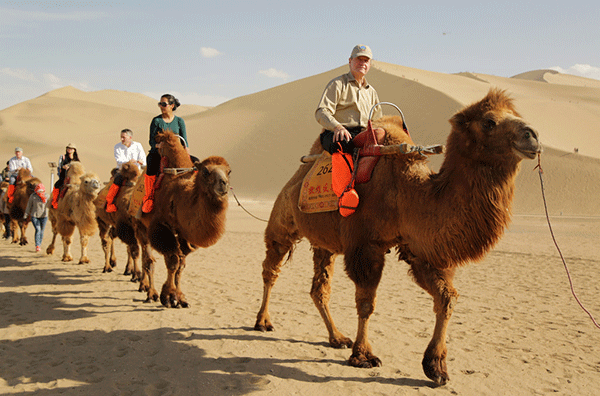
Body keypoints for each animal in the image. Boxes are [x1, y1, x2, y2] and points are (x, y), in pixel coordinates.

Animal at [137, 130, 231, 306]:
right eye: (205, 171)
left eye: (229, 171)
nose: (224, 184)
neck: (179, 198)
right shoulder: (160, 227)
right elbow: (173, 261)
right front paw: (168, 296)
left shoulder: (185, 235)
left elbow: (180, 264)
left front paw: (179, 297)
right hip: (140, 226)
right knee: (147, 259)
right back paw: (150, 293)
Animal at [251, 89, 540, 384]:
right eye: (489, 122)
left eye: (516, 115)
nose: (532, 135)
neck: (406, 191)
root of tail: (298, 174)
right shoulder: (365, 246)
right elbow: (366, 303)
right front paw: (363, 356)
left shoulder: (417, 249)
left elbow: (447, 297)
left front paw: (436, 366)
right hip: (282, 219)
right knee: (271, 269)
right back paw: (263, 321)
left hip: (324, 243)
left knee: (319, 288)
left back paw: (337, 337)